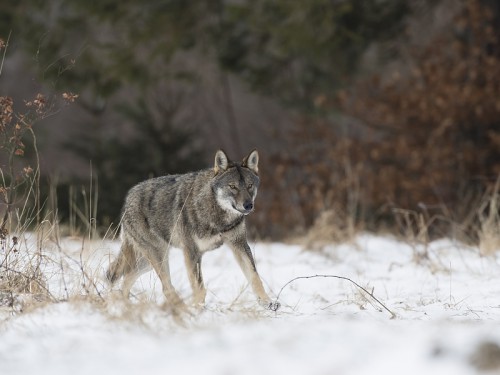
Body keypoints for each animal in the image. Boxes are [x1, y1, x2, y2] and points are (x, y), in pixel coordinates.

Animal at [106, 150, 278, 312]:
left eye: (249, 186)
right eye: (233, 187)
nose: (248, 205)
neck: (218, 217)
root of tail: (128, 198)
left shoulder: (239, 245)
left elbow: (254, 276)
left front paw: (267, 302)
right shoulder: (192, 251)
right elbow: (199, 288)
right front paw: (197, 310)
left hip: (146, 262)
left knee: (126, 278)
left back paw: (125, 306)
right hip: (158, 257)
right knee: (165, 287)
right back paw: (182, 309)